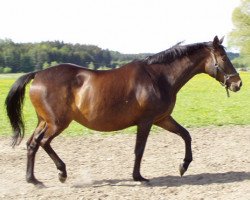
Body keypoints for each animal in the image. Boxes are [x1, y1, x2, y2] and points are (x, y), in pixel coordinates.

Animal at [4, 36, 241, 186]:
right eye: (223, 58)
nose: (237, 84)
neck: (159, 77)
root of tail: (37, 74)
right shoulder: (146, 121)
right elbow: (139, 150)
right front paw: (138, 177)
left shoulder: (163, 119)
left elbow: (186, 135)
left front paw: (183, 166)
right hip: (57, 123)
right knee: (43, 142)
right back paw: (61, 172)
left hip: (44, 121)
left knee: (32, 144)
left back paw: (33, 180)